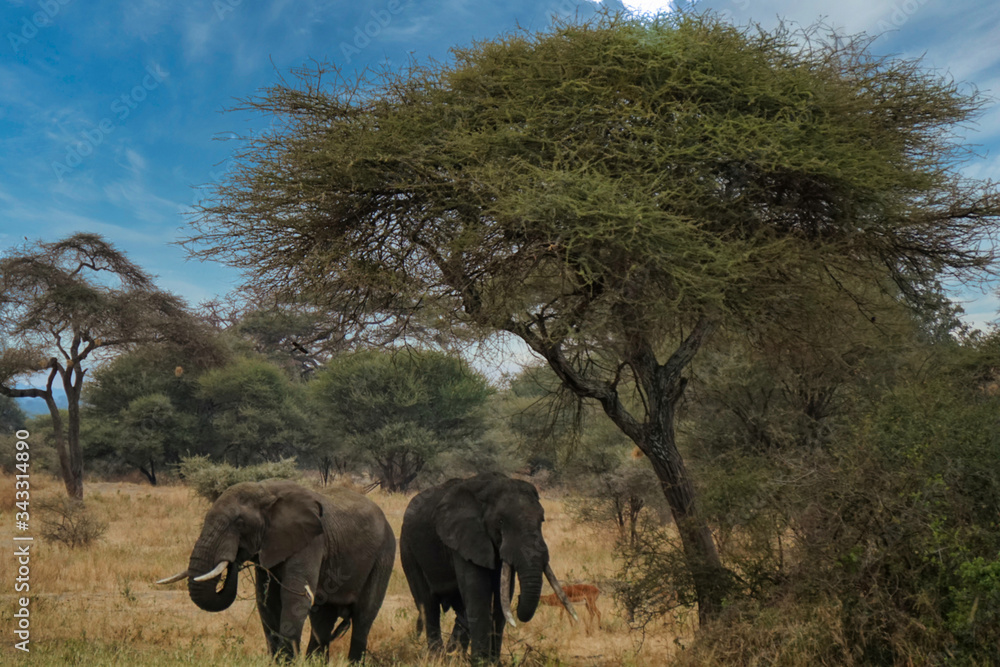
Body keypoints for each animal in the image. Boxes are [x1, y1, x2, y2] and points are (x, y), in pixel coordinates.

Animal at [156, 480, 395, 662]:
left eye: (240, 522)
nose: (234, 558)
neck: (265, 491)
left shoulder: (311, 541)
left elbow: (295, 597)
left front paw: (287, 660)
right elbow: (267, 601)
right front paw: (280, 661)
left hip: (384, 555)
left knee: (363, 617)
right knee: (322, 618)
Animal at [400, 472, 577, 663]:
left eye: (542, 520)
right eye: (500, 521)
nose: (521, 600)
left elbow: (502, 596)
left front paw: (493, 663)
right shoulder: (466, 539)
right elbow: (478, 591)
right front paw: (480, 662)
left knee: (461, 610)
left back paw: (453, 657)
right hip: (408, 549)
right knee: (428, 605)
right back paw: (437, 658)